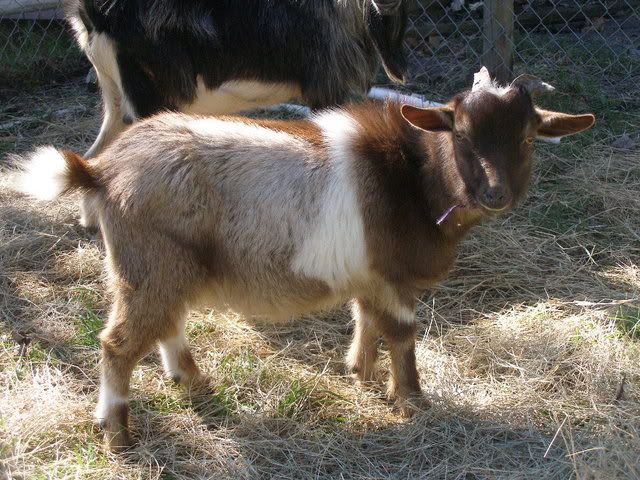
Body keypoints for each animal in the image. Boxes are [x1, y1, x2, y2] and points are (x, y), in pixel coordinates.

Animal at [15, 68, 594, 450]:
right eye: (463, 136)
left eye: (527, 138)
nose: (496, 195)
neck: (412, 177)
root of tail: (100, 172)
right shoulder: (392, 276)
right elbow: (401, 333)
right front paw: (411, 400)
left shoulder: (369, 275)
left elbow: (366, 319)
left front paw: (360, 373)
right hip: (150, 265)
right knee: (118, 343)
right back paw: (117, 433)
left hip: (165, 269)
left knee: (164, 323)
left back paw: (191, 379)